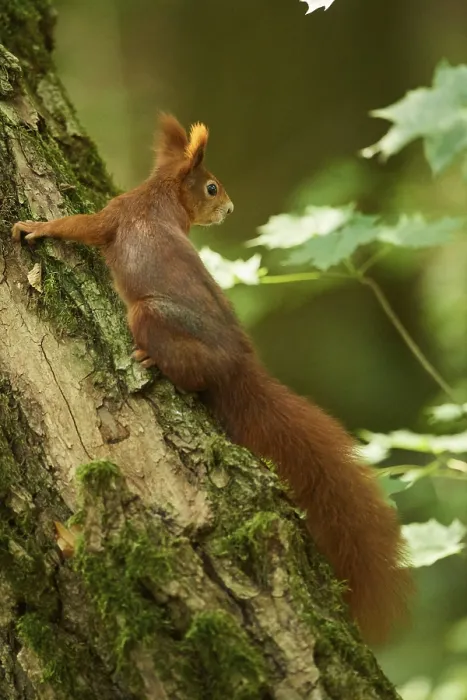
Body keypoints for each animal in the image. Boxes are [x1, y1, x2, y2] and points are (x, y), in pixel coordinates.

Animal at [12, 114, 413, 645]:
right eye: (211, 187)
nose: (229, 208)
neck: (158, 194)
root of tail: (238, 367)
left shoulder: (117, 215)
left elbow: (81, 226)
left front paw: (34, 227)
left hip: (148, 314)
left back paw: (153, 361)